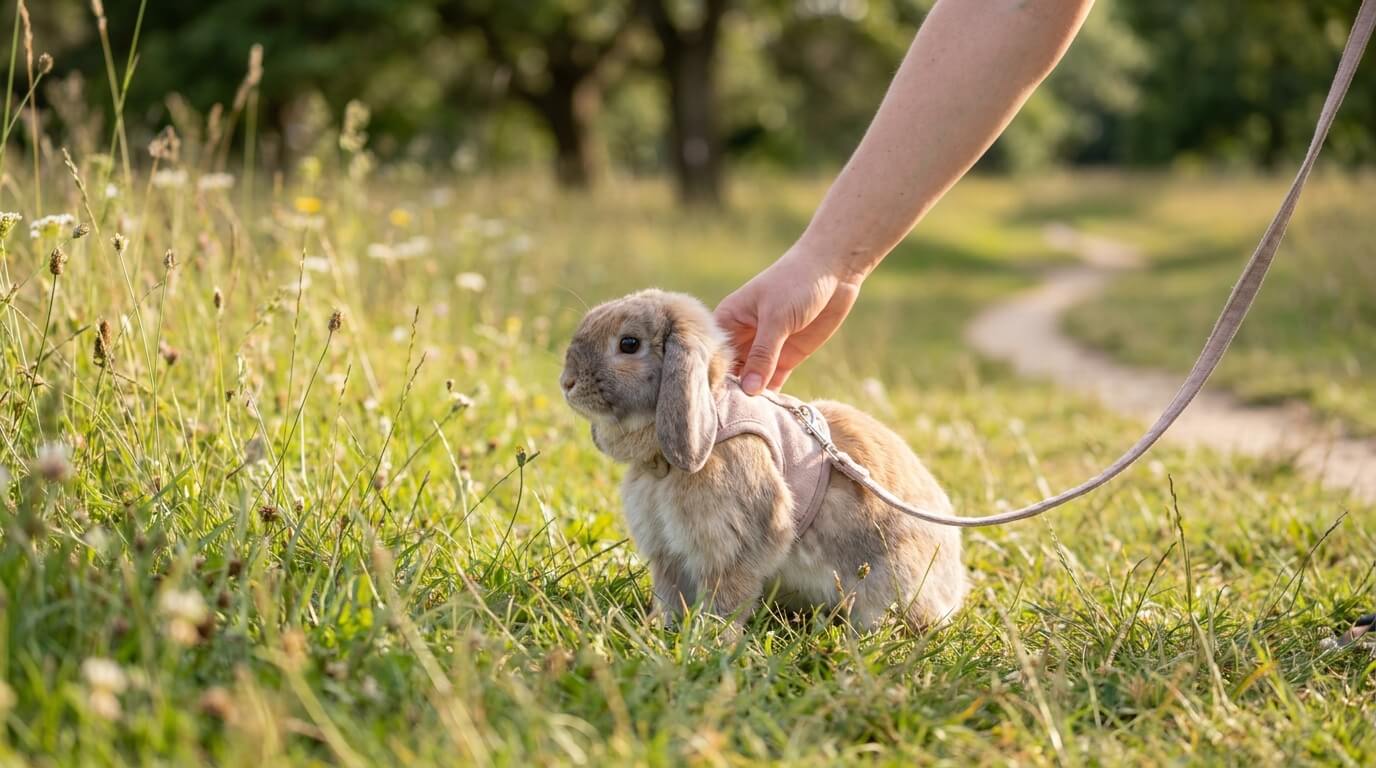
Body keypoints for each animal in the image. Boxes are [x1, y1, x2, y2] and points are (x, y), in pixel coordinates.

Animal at [560, 289, 968, 631]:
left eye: (629, 344)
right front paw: (666, 631)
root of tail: (952, 588)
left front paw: (709, 640)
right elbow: (672, 595)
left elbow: (726, 596)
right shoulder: (668, 555)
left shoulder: (732, 546)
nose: (566, 382)